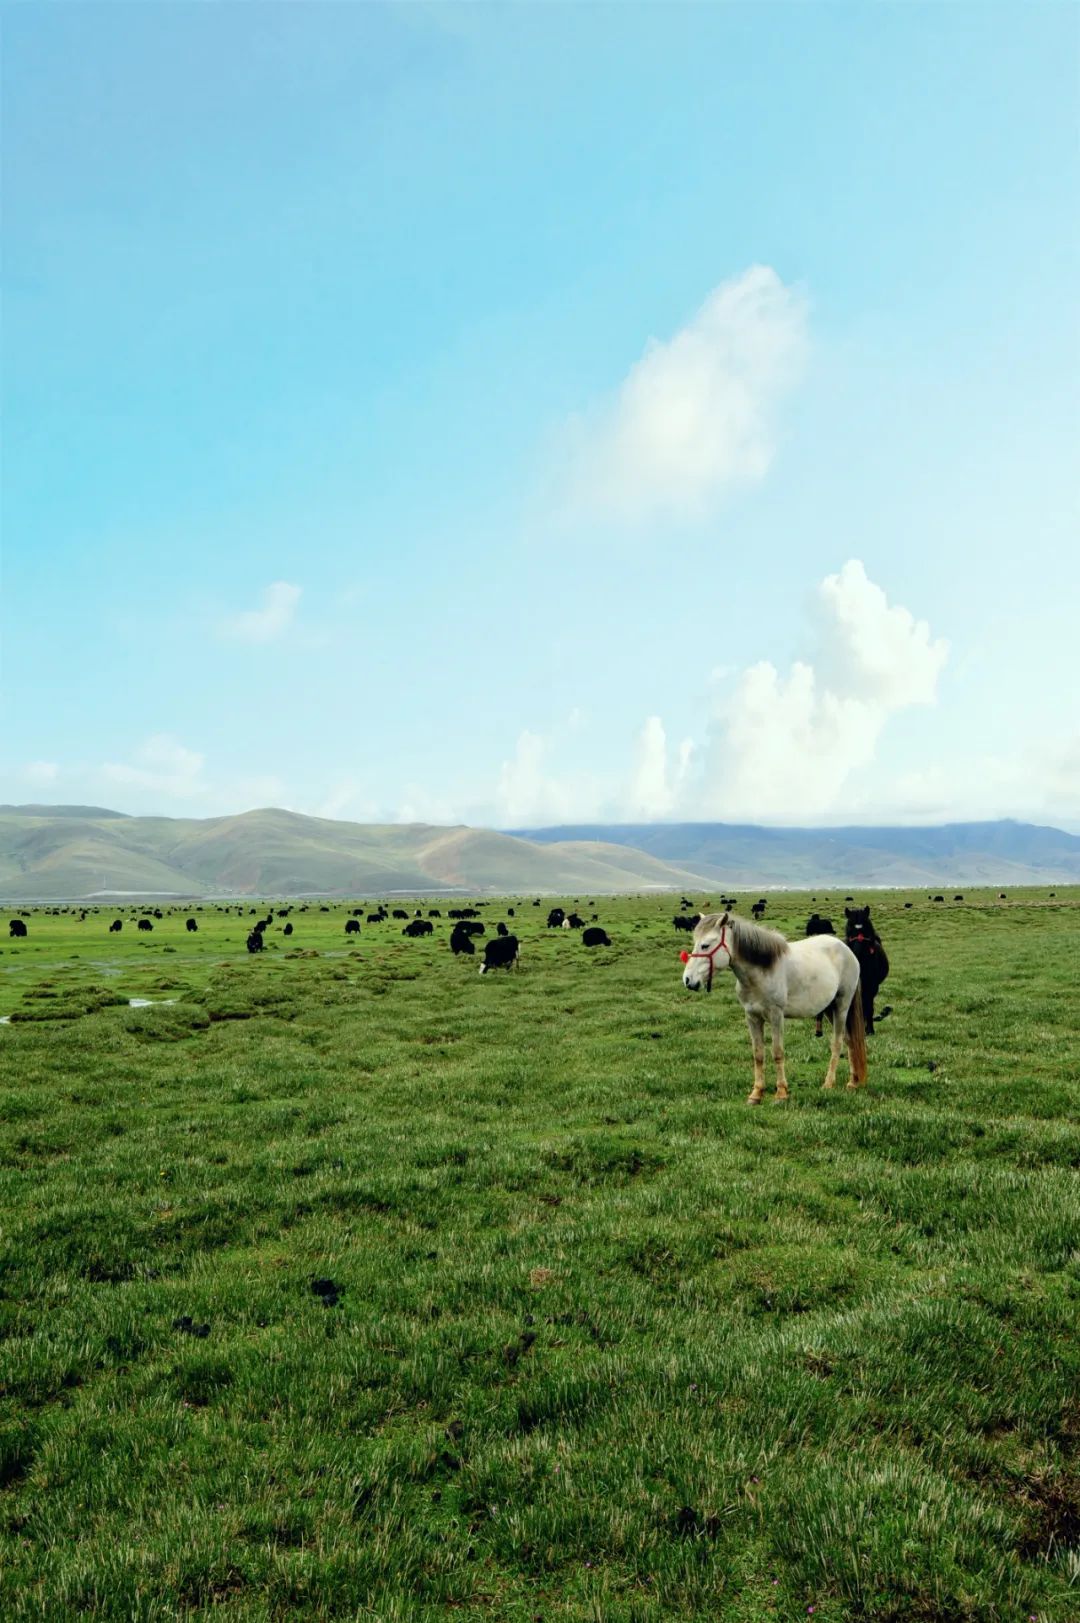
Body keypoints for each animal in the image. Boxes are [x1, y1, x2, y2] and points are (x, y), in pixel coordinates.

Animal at [682, 915, 870, 1103]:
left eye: (705, 945)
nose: (688, 980)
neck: (761, 972)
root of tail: (848, 951)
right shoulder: (752, 1017)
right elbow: (758, 1054)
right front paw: (756, 1093)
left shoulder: (776, 1016)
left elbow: (777, 1052)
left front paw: (781, 1092)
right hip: (830, 1009)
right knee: (849, 1040)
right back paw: (853, 1082)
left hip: (841, 1006)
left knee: (837, 1043)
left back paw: (829, 1083)